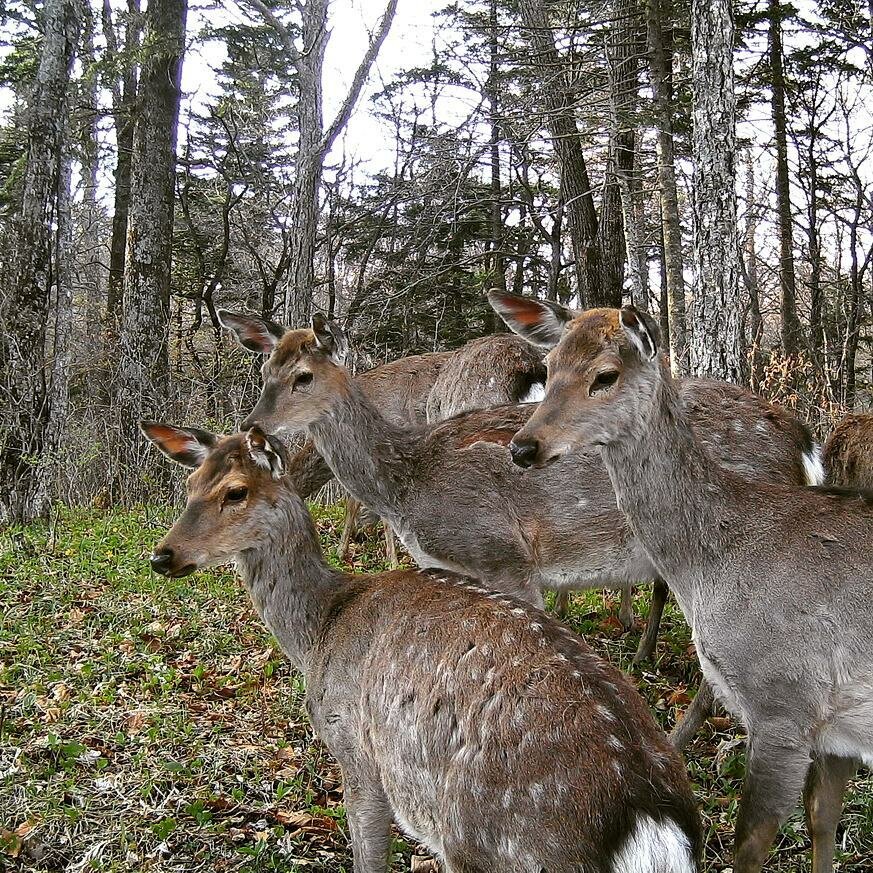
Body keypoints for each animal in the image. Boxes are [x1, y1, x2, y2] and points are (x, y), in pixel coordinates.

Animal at [141, 418, 700, 868]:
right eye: (190, 484)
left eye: (236, 491)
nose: (163, 556)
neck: (321, 627)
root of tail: (648, 822)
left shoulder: (354, 746)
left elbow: (368, 856)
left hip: (486, 844)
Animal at [504, 304, 872, 872]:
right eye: (549, 365)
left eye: (605, 375)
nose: (524, 446)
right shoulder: (840, 727)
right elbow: (822, 820)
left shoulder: (784, 700)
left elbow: (750, 843)